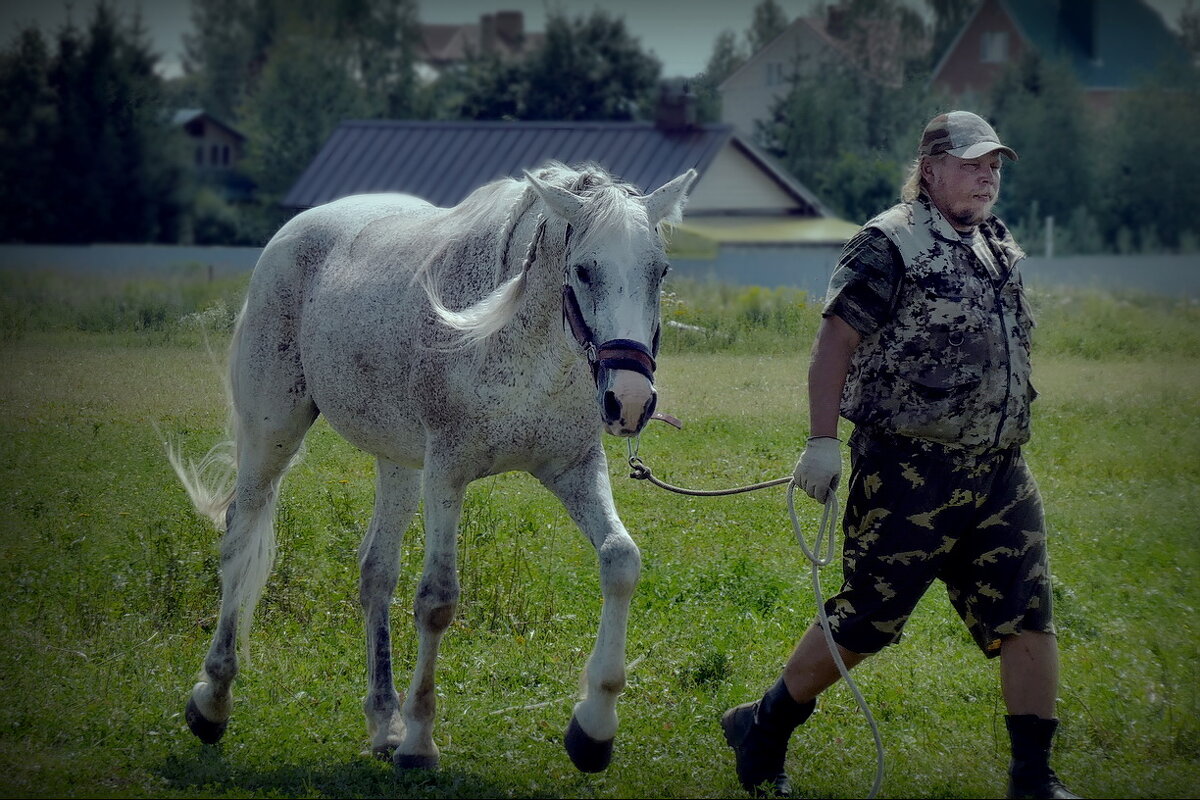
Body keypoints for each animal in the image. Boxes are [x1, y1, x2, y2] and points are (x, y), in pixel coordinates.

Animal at [166, 160, 696, 777]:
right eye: (585, 270)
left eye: (660, 271)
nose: (630, 401)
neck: (521, 345)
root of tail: (293, 232)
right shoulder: (447, 473)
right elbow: (438, 600)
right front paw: (420, 740)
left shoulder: (574, 469)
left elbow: (620, 562)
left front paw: (594, 726)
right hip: (272, 436)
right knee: (240, 542)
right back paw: (213, 701)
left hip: (397, 462)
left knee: (375, 572)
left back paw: (382, 721)